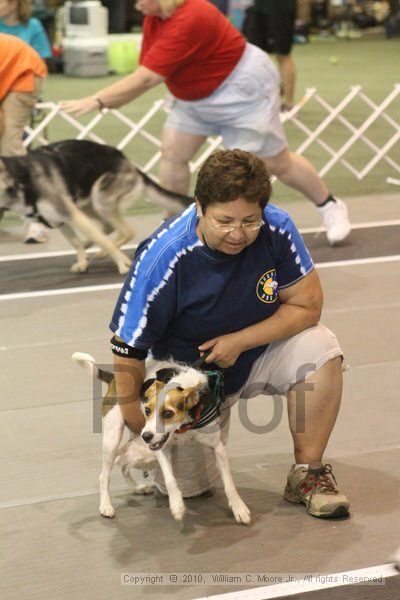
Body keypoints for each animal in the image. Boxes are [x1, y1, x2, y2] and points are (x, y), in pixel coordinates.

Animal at [0, 139, 191, 274]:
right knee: (107, 228)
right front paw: (82, 262)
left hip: (99, 199)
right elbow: (76, 242)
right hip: (86, 204)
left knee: (125, 231)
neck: (21, 179)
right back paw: (94, 248)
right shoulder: (60, 220)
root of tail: (129, 163)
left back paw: (105, 251)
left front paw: (122, 263)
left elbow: (102, 240)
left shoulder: (69, 214)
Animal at [72, 352, 250, 524]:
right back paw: (106, 505)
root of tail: (114, 377)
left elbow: (229, 483)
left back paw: (137, 488)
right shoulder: (160, 449)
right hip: (114, 439)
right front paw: (177, 505)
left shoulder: (217, 447)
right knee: (105, 474)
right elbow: (170, 479)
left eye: (168, 413)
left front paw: (239, 508)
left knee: (123, 465)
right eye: (147, 410)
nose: (146, 436)